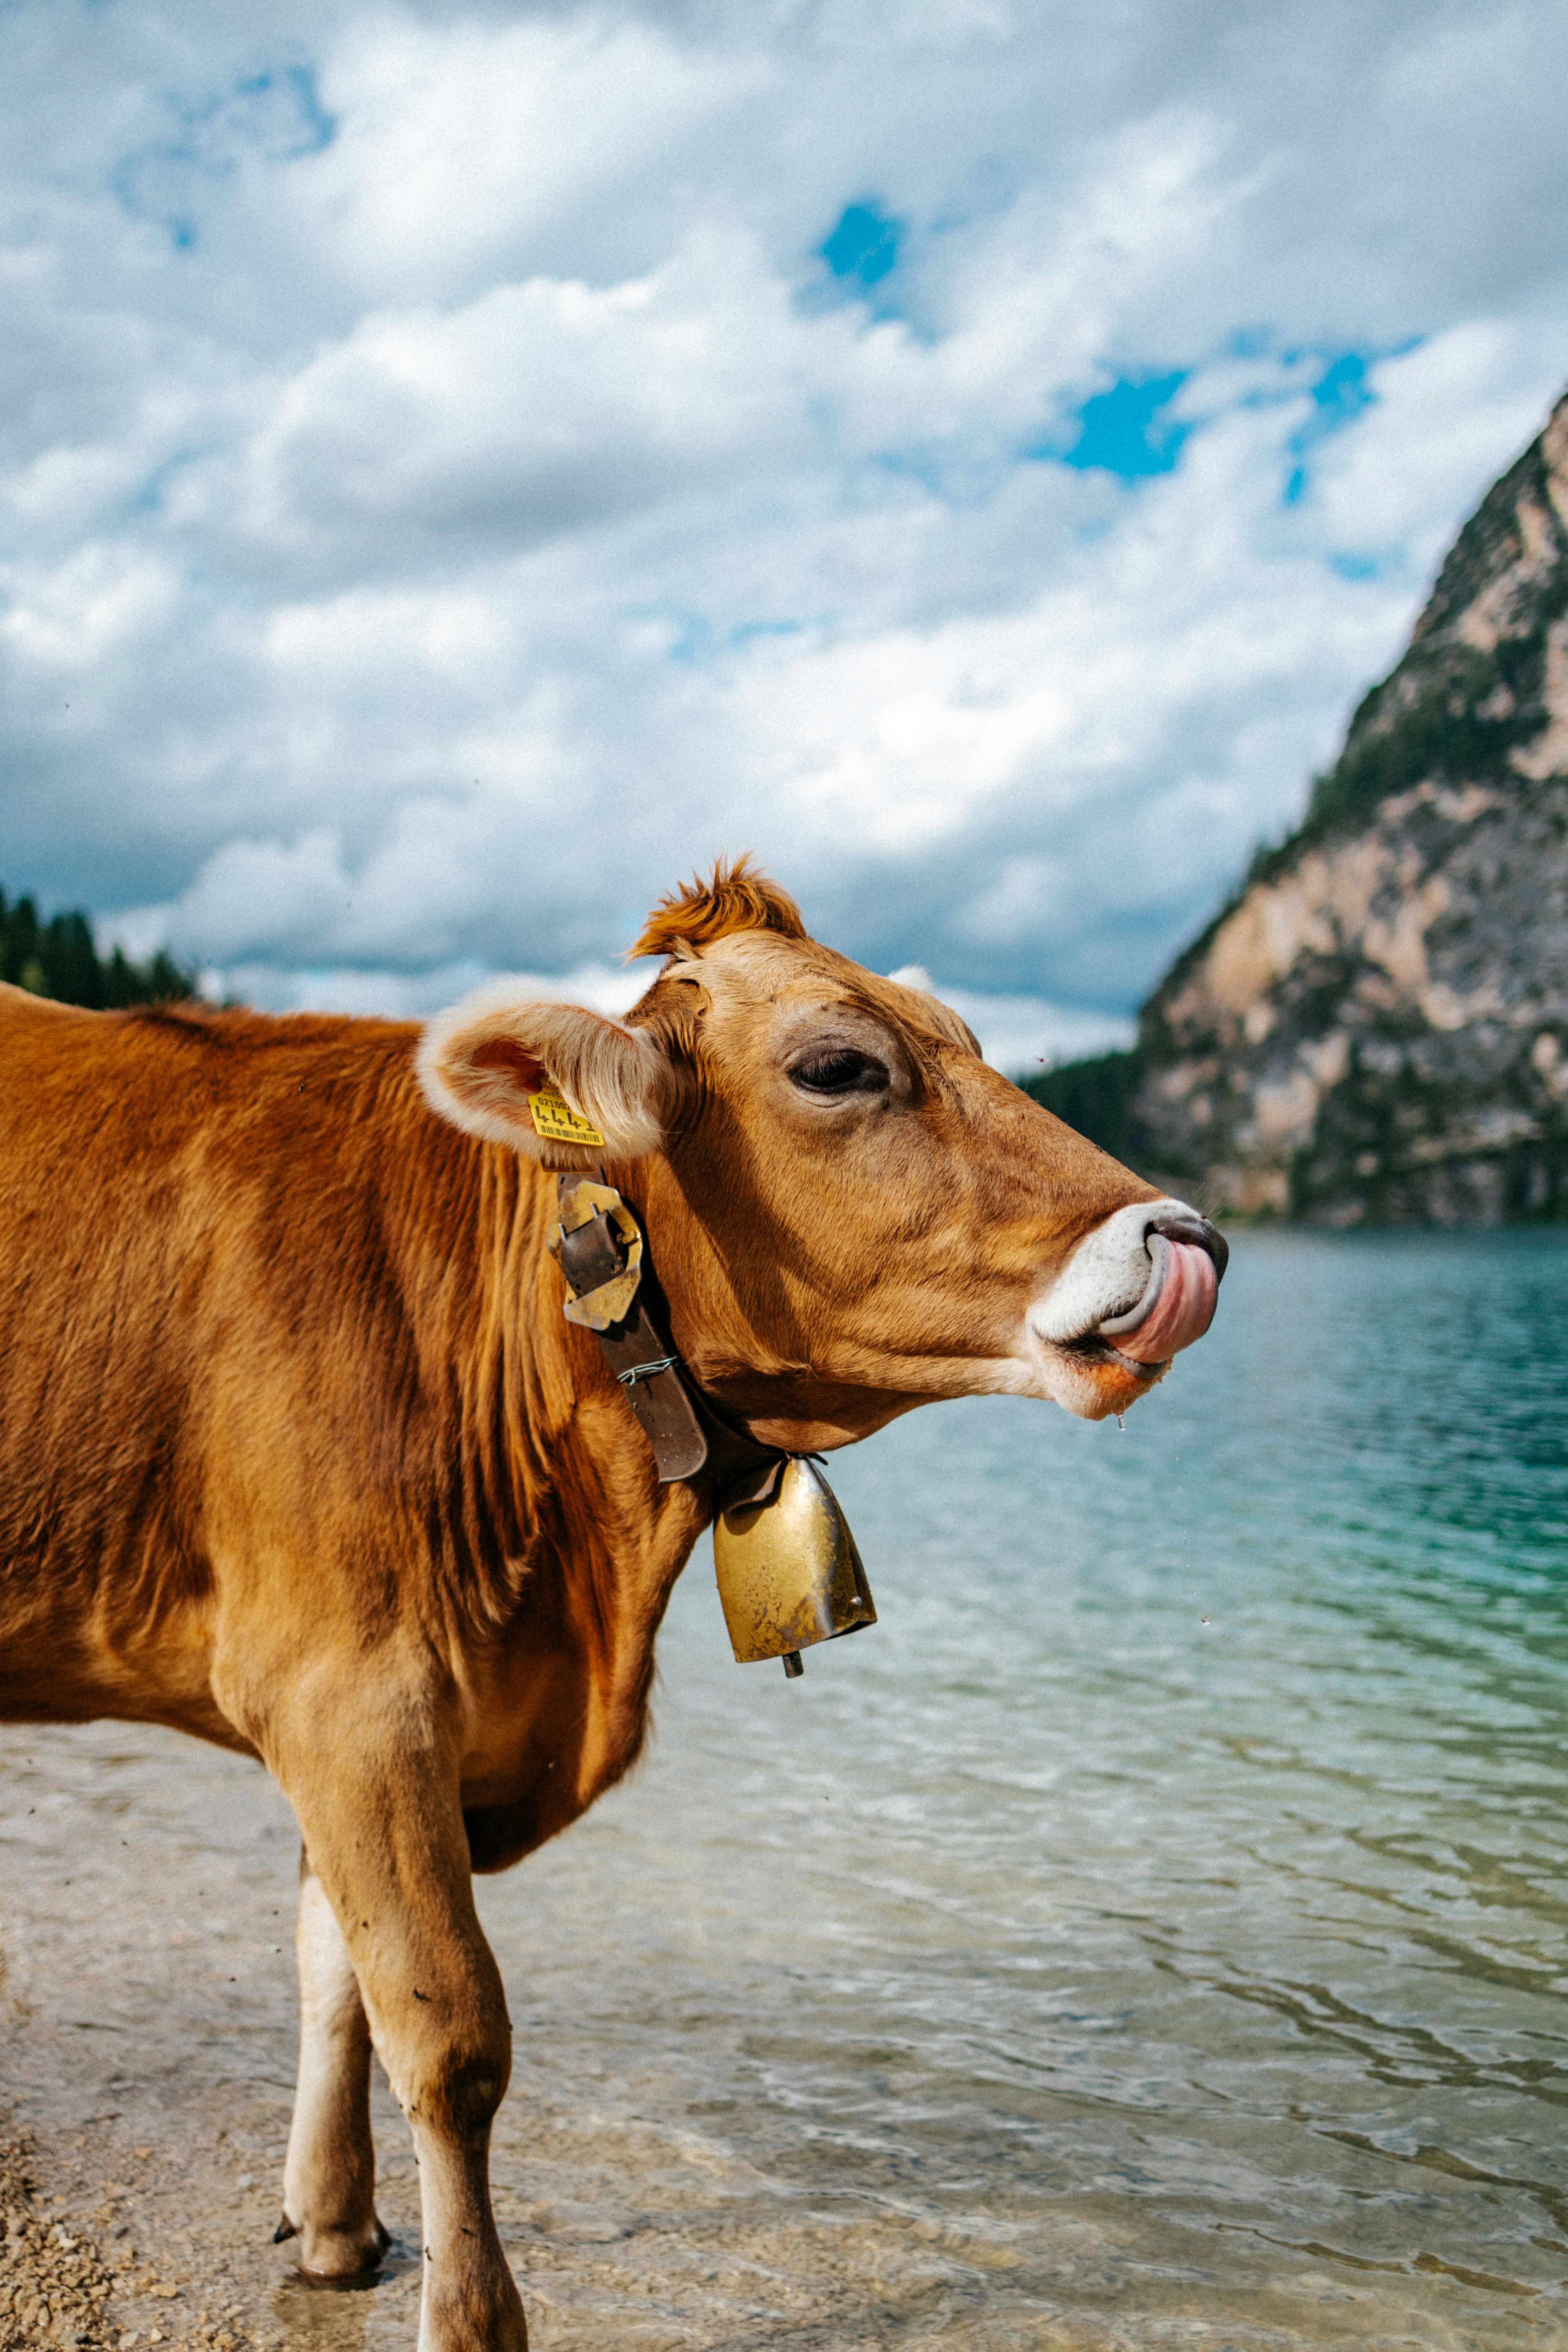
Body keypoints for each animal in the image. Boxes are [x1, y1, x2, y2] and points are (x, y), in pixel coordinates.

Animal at [0, 861, 1224, 2352]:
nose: (1183, 1239)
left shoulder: (378, 1707)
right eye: (838, 1066)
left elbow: (334, 1966)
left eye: (976, 1045)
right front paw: (473, 2318)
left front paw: (334, 2223)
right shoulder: (348, 1687)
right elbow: (447, 2029)